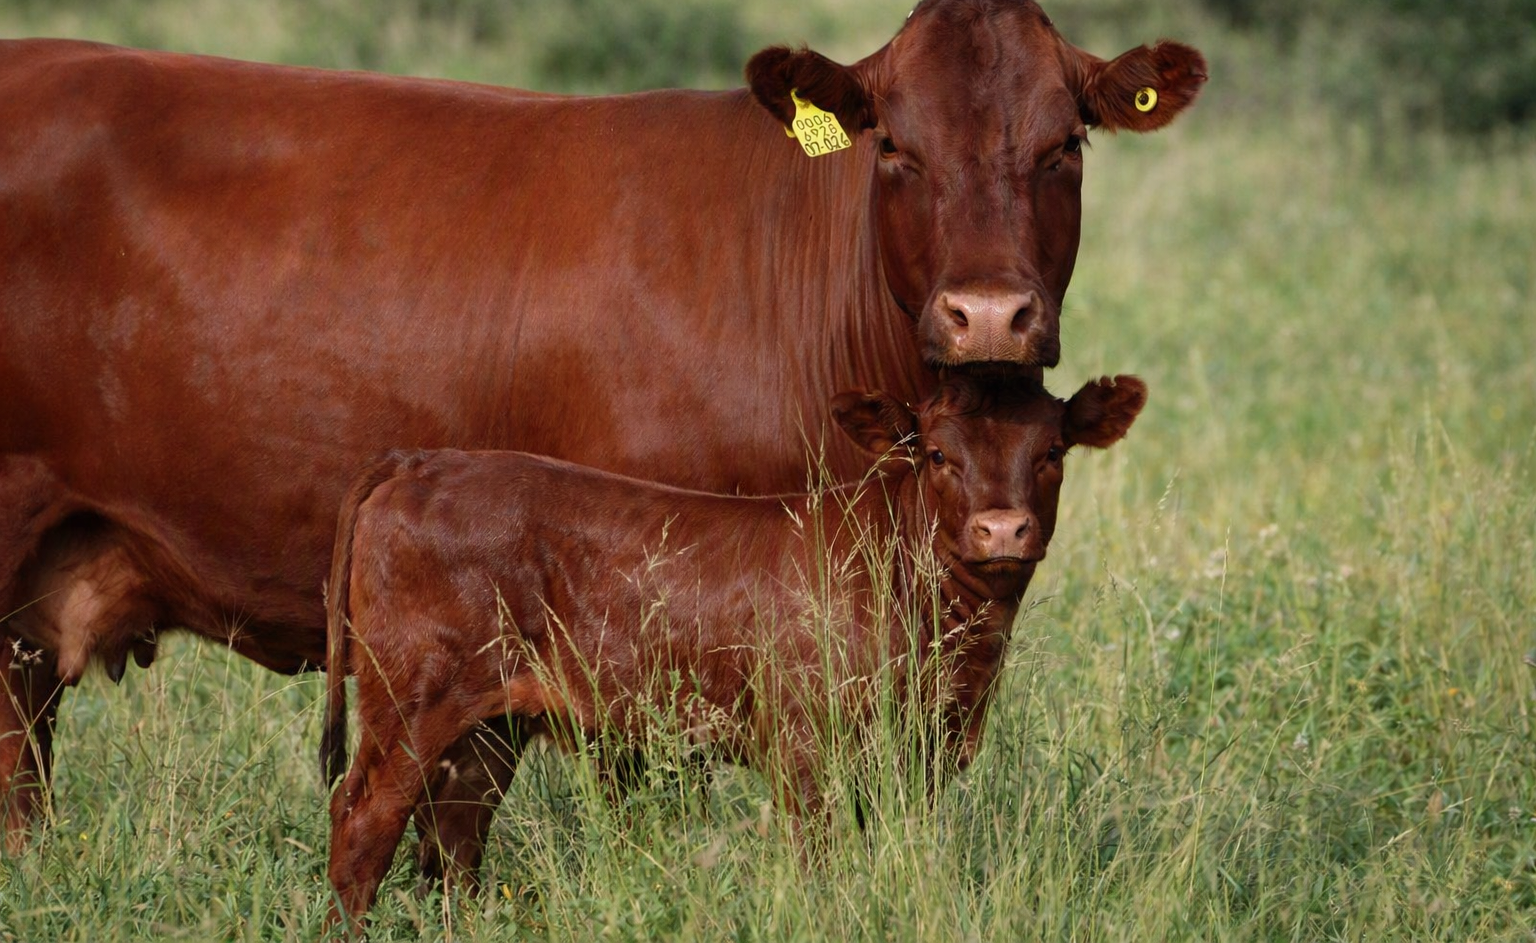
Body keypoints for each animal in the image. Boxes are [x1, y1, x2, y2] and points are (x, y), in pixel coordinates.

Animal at [320, 371, 1148, 924]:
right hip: (410, 700)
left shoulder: (922, 751)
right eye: (938, 454)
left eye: (1052, 450)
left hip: (486, 727)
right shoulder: (806, 745)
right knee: (364, 821)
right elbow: (820, 863)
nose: (1001, 529)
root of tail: (422, 460)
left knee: (453, 837)